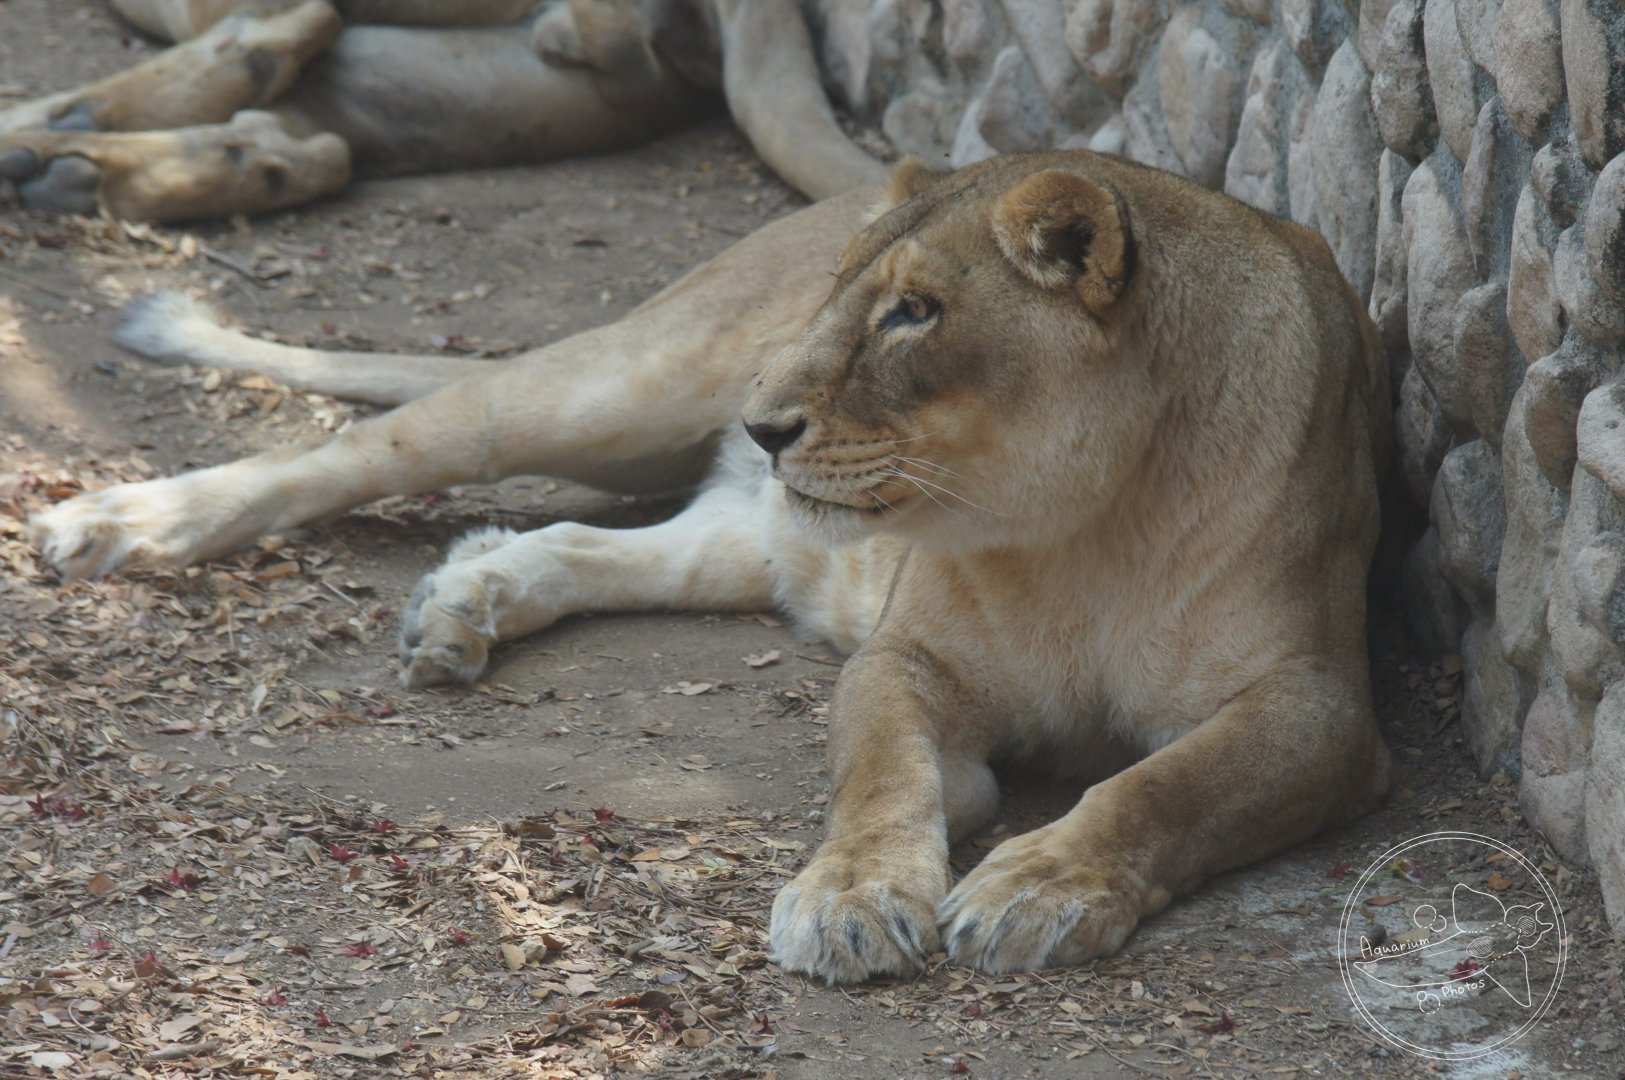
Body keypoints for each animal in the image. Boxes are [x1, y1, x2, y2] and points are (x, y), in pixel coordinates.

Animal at [28, 151, 1392, 980]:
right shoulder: (905, 655)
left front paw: (1041, 885)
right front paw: (850, 899)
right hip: (612, 389)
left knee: (596, 541)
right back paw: (112, 523)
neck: (1087, 525)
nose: (766, 420)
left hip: (760, 530)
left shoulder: (1321, 708)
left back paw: (463, 603)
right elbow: (878, 773)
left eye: (913, 314)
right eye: (844, 299)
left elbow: (1162, 787)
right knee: (361, 447)